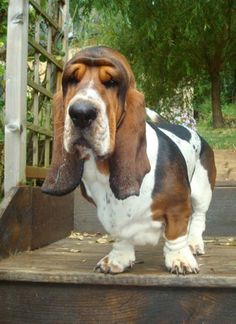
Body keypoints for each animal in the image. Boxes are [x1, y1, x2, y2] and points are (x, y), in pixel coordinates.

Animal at [42, 45, 216, 274]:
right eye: (71, 79)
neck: (103, 169)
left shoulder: (178, 207)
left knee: (198, 219)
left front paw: (180, 259)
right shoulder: (110, 215)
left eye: (112, 82)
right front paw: (118, 259)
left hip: (202, 191)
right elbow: (120, 235)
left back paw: (194, 244)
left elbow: (176, 234)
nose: (81, 113)